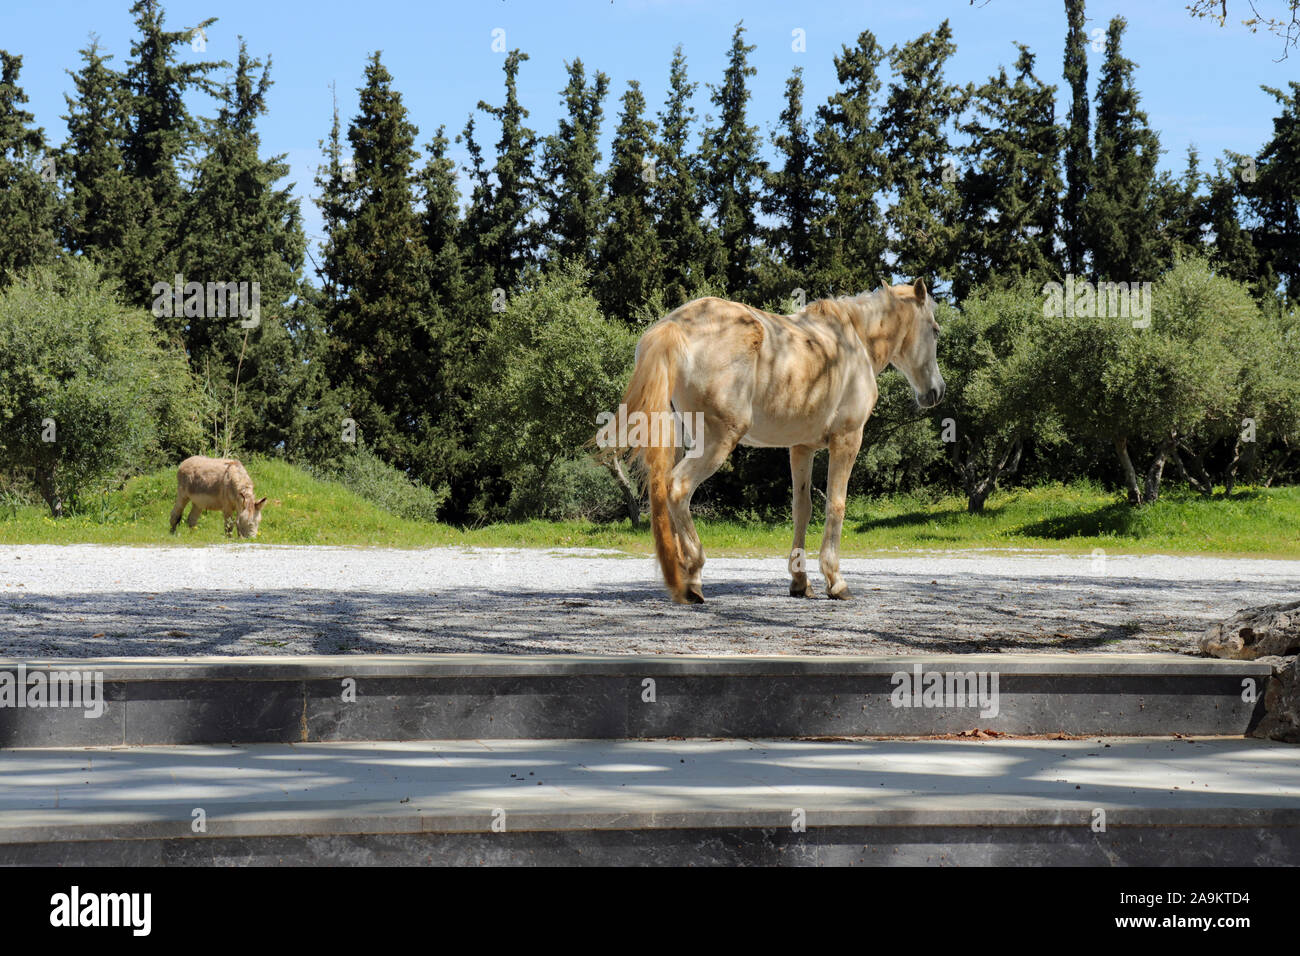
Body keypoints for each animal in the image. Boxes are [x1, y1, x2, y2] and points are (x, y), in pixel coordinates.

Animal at [608, 278, 946, 606]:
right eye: (935, 330)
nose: (936, 392)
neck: (853, 342)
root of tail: (675, 325)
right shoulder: (847, 440)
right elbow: (835, 506)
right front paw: (835, 581)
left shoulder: (801, 448)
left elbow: (802, 508)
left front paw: (800, 581)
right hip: (716, 442)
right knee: (678, 488)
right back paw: (692, 576)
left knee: (663, 492)